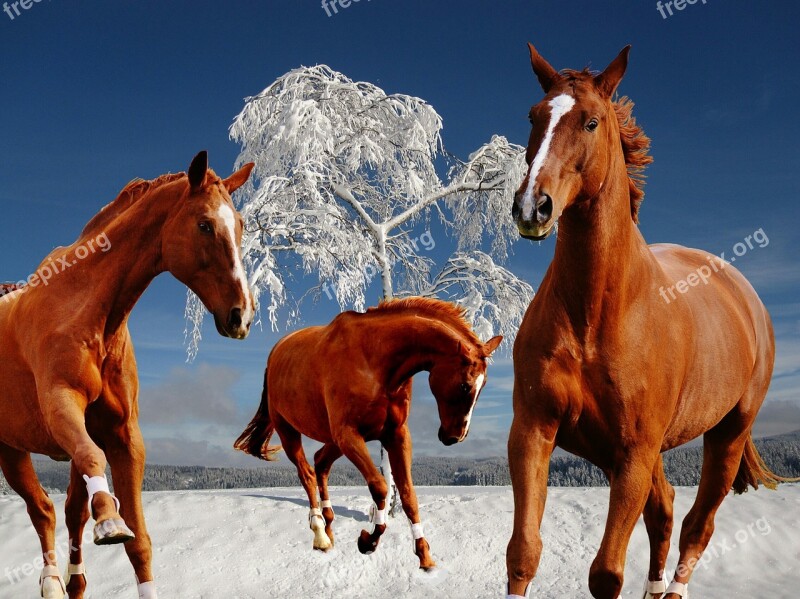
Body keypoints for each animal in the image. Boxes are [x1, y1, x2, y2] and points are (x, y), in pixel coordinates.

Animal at [0, 154, 253, 599]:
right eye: (205, 224)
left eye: (239, 225)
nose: (242, 316)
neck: (86, 308)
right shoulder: (60, 404)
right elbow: (92, 461)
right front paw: (109, 520)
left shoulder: (124, 435)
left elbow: (139, 542)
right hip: (9, 449)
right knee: (42, 510)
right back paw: (51, 582)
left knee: (65, 512)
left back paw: (73, 580)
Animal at [234, 298, 504, 568]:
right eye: (465, 385)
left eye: (484, 385)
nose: (454, 436)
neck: (375, 361)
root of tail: (275, 353)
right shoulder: (349, 435)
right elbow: (381, 487)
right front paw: (368, 541)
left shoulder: (396, 436)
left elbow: (408, 495)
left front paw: (424, 556)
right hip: (290, 432)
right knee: (307, 474)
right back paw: (321, 535)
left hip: (333, 441)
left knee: (320, 463)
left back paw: (329, 528)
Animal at [506, 45, 788, 599]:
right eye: (533, 116)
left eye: (591, 121)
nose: (533, 207)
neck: (594, 315)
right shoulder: (533, 431)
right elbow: (523, 553)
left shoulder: (633, 453)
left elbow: (606, 574)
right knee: (664, 514)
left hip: (727, 435)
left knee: (697, 526)